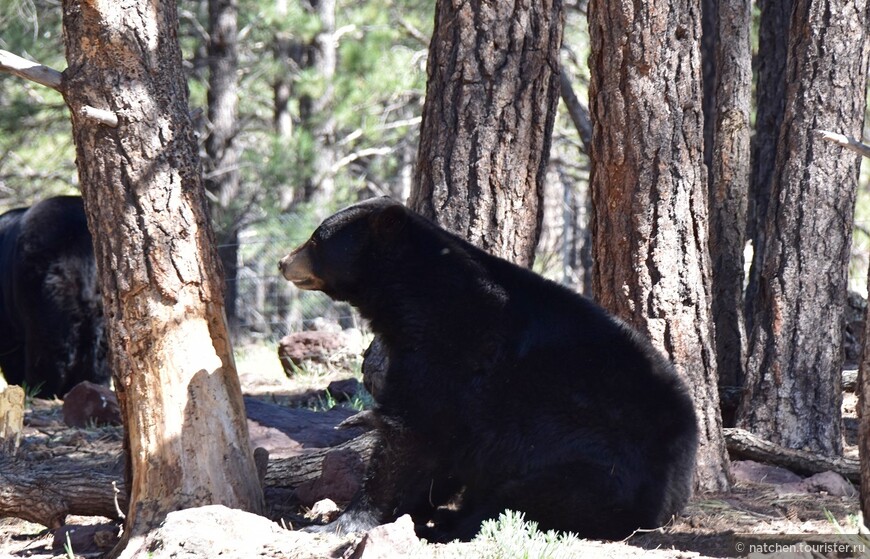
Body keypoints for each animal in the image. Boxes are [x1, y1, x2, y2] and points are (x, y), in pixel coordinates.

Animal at [280, 198, 700, 544]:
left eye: (316, 239)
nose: (284, 261)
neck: (417, 296)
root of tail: (674, 498)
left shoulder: (450, 355)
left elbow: (412, 436)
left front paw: (339, 522)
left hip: (592, 468)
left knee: (520, 499)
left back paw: (451, 527)